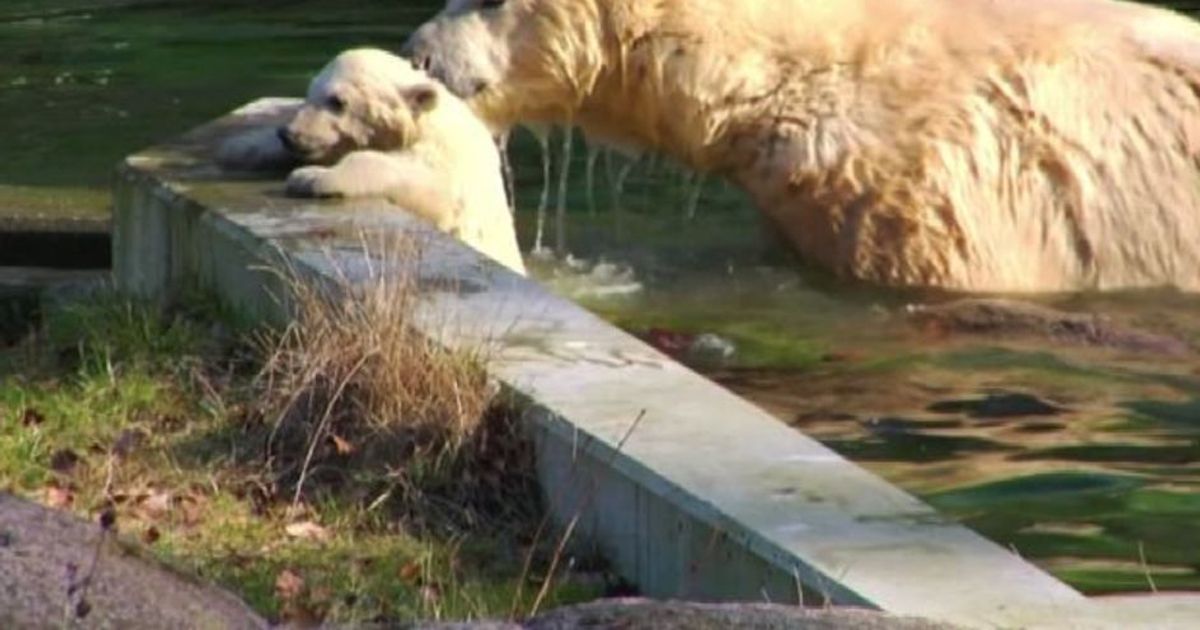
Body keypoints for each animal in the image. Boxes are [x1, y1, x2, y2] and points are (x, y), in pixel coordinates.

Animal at [217, 48, 526, 275]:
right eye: (309, 92)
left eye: (337, 101)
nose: (290, 134)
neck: (424, 122)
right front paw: (239, 148)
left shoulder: (449, 163)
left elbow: (421, 181)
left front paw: (310, 177)